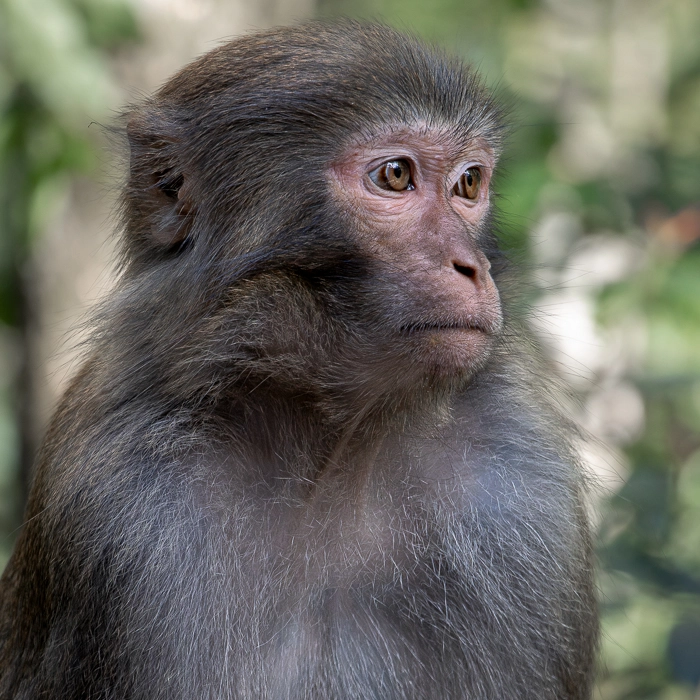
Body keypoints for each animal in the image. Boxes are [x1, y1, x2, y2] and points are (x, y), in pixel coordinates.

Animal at [0, 21, 598, 700]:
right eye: (396, 175)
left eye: (469, 184)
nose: (472, 266)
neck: (330, 450)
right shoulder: (119, 515)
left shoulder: (522, 492)